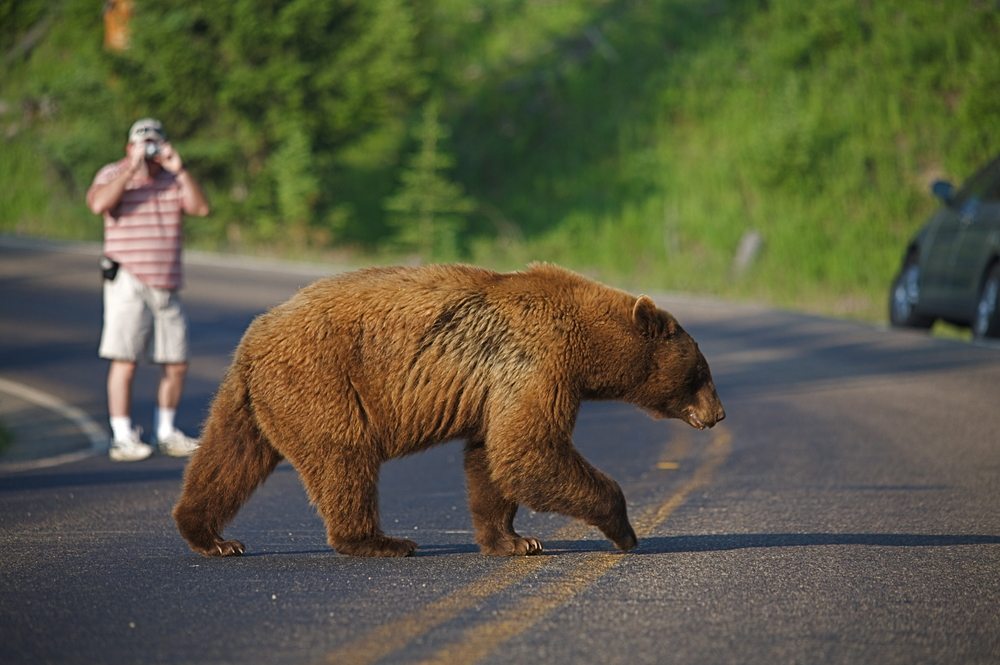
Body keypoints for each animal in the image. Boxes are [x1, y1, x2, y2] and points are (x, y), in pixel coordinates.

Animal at [170, 262, 720, 556]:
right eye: (701, 373)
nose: (719, 414)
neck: (587, 345)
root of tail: (253, 337)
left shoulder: (497, 386)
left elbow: (492, 458)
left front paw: (514, 540)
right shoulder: (536, 362)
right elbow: (529, 450)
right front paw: (624, 530)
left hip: (255, 398)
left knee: (229, 458)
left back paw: (210, 535)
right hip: (322, 382)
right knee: (343, 458)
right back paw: (380, 540)